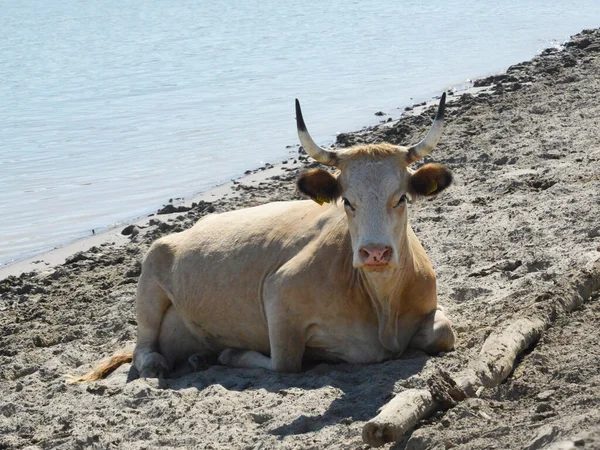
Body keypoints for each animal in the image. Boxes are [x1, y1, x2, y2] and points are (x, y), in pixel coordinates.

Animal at [77, 94, 458, 380]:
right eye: (348, 201)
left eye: (402, 198)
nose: (375, 253)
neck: (382, 309)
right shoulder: (278, 294)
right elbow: (285, 363)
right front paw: (232, 354)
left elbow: (444, 334)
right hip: (149, 282)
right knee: (144, 348)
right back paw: (169, 361)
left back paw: (200, 358)